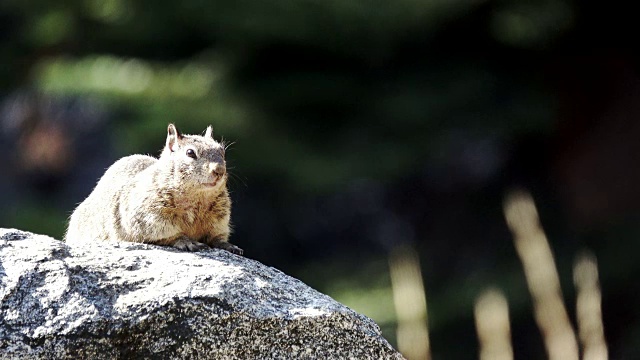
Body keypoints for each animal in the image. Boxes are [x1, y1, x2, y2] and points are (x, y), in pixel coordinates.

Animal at [64, 125, 242, 255]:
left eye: (222, 150)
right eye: (190, 153)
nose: (219, 170)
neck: (197, 197)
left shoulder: (219, 218)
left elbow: (216, 236)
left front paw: (228, 245)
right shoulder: (152, 216)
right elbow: (168, 233)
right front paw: (186, 241)